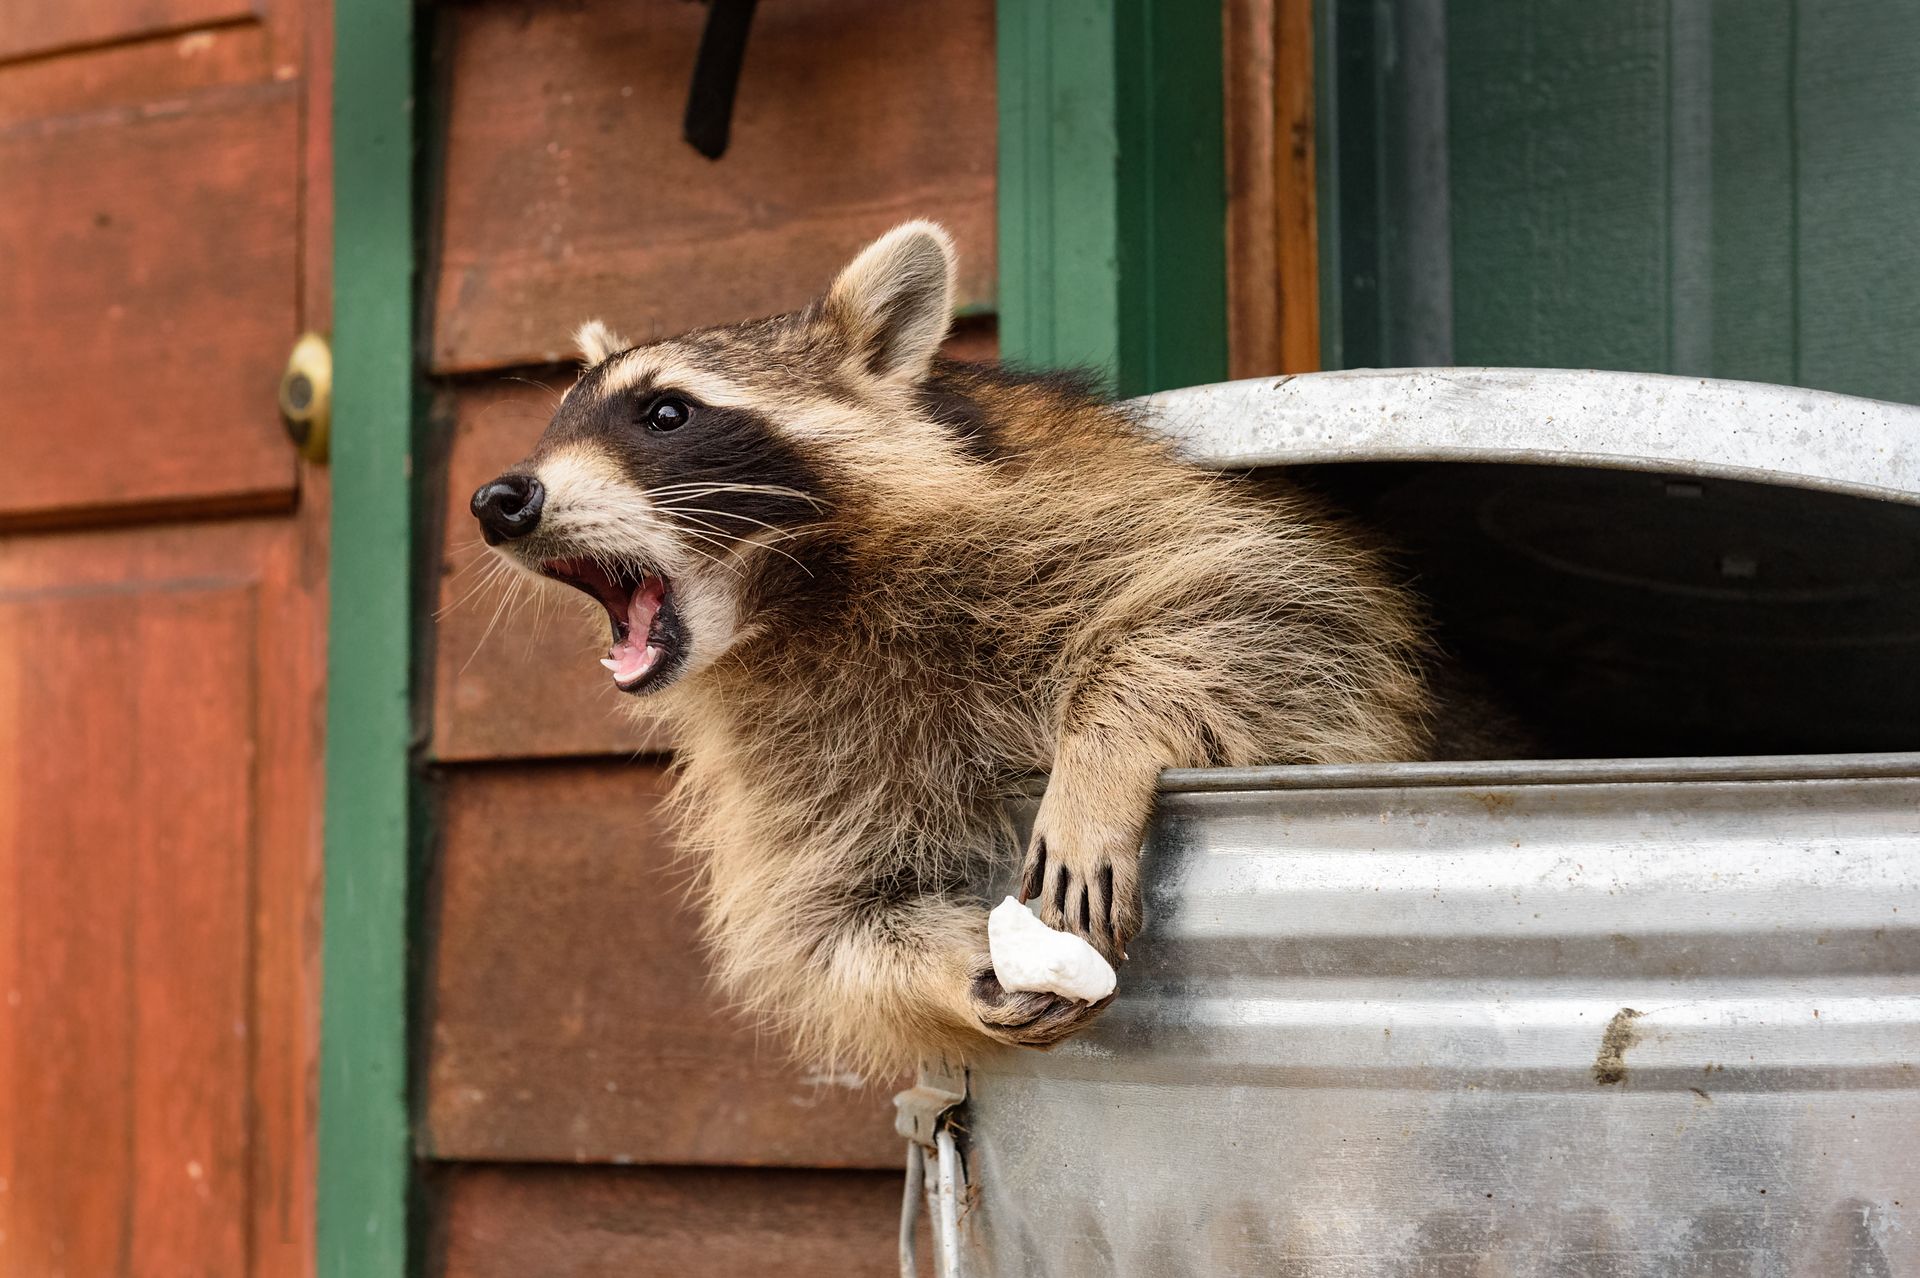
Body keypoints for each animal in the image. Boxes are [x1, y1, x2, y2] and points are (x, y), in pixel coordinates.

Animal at [472, 221, 1443, 1074]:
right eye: (555, 423)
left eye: (666, 412)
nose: (497, 500)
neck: (797, 605)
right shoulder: (800, 758)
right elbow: (834, 916)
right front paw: (957, 970)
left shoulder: (1102, 512)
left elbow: (1271, 609)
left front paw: (1104, 748)